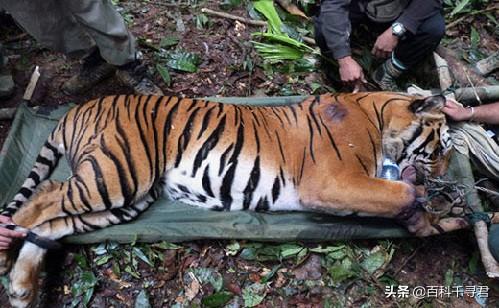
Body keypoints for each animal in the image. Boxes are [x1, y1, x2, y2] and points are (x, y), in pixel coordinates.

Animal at [0, 92, 472, 308]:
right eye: (442, 148)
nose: (445, 174)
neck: (377, 114)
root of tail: (75, 109)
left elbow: (407, 204)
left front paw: (446, 218)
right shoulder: (333, 181)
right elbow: (399, 192)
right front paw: (427, 201)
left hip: (124, 199)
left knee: (52, 224)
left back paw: (22, 288)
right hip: (116, 175)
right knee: (43, 196)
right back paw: (6, 255)